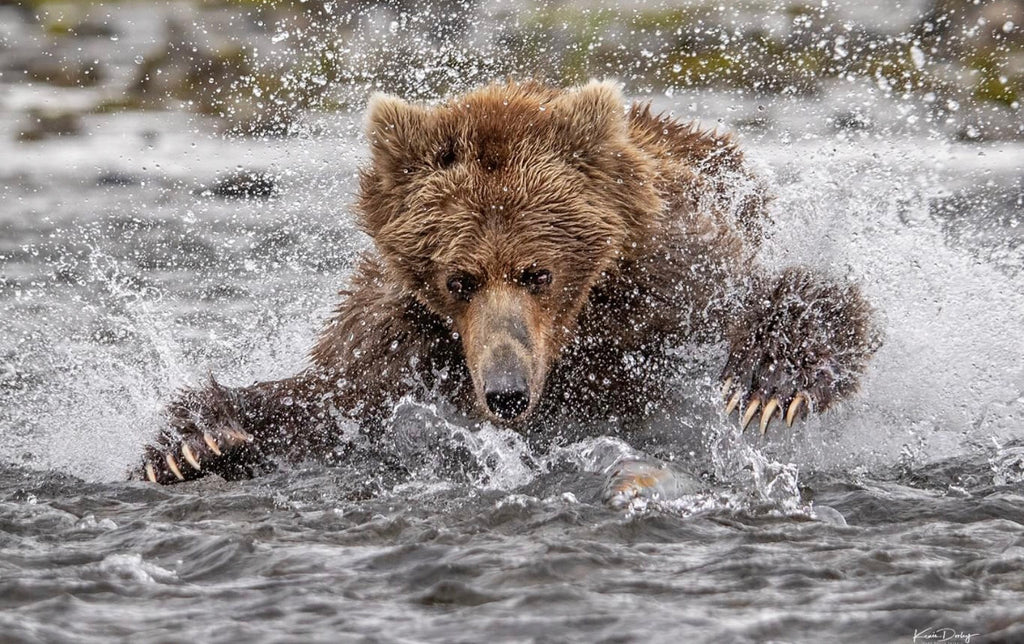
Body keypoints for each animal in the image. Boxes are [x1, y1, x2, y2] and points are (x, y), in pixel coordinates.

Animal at [138, 79, 880, 483]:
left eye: (538, 271)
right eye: (459, 279)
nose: (504, 392)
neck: (578, 330)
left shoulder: (670, 283)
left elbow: (790, 293)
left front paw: (768, 383)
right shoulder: (400, 338)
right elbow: (324, 399)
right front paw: (194, 442)